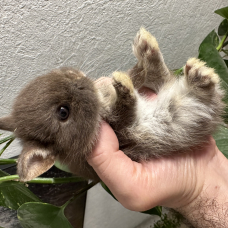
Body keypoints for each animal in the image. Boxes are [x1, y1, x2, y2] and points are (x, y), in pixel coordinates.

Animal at [0, 28, 224, 182]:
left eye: (64, 74)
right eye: (63, 112)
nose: (81, 81)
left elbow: (138, 77)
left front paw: (122, 78)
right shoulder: (125, 132)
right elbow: (125, 110)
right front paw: (122, 85)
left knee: (161, 76)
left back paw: (148, 46)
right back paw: (198, 76)